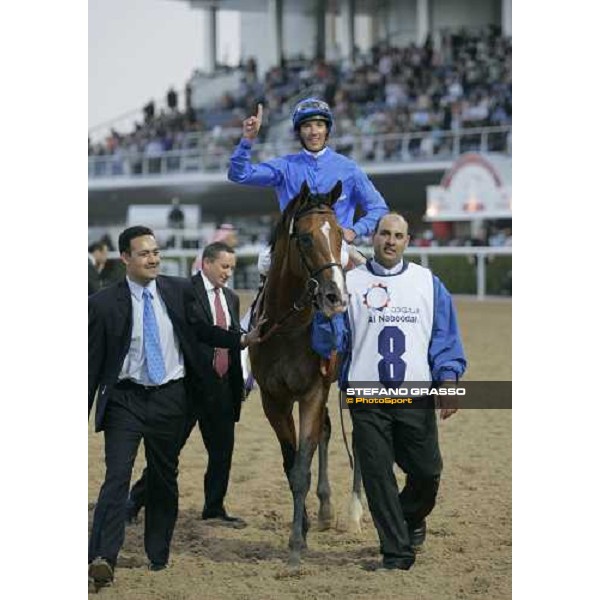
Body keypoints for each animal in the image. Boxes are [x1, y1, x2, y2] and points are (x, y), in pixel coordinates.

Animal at [248, 180, 350, 564]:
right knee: (325, 430)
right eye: (305, 238)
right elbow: (289, 462)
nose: (335, 297)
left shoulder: (312, 392)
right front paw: (301, 528)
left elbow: (302, 466)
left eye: (340, 235)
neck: (288, 327)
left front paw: (295, 542)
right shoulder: (273, 399)